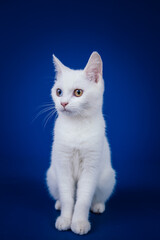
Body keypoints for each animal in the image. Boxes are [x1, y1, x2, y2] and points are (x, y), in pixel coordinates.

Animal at [45, 52, 115, 234]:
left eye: (78, 92)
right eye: (59, 91)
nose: (63, 103)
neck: (77, 126)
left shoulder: (91, 166)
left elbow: (83, 199)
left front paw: (79, 223)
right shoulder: (63, 165)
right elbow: (68, 197)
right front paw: (65, 220)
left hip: (107, 178)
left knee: (98, 197)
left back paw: (98, 206)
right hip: (52, 176)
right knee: (60, 195)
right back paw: (58, 204)